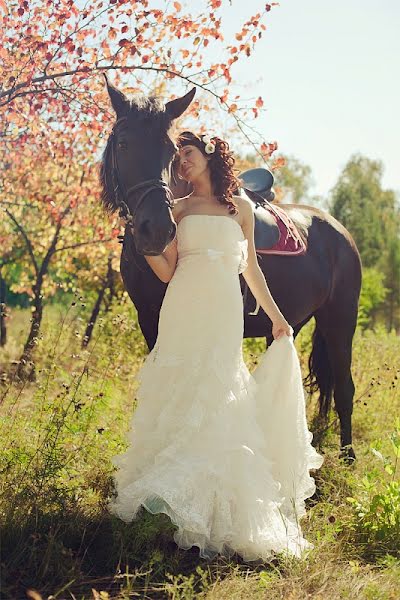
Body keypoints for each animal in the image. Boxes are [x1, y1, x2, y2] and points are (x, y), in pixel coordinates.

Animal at [100, 77, 362, 462]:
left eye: (171, 152)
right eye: (123, 143)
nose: (157, 231)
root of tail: (339, 230)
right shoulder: (149, 320)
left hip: (340, 320)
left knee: (344, 387)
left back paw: (347, 457)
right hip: (288, 323)